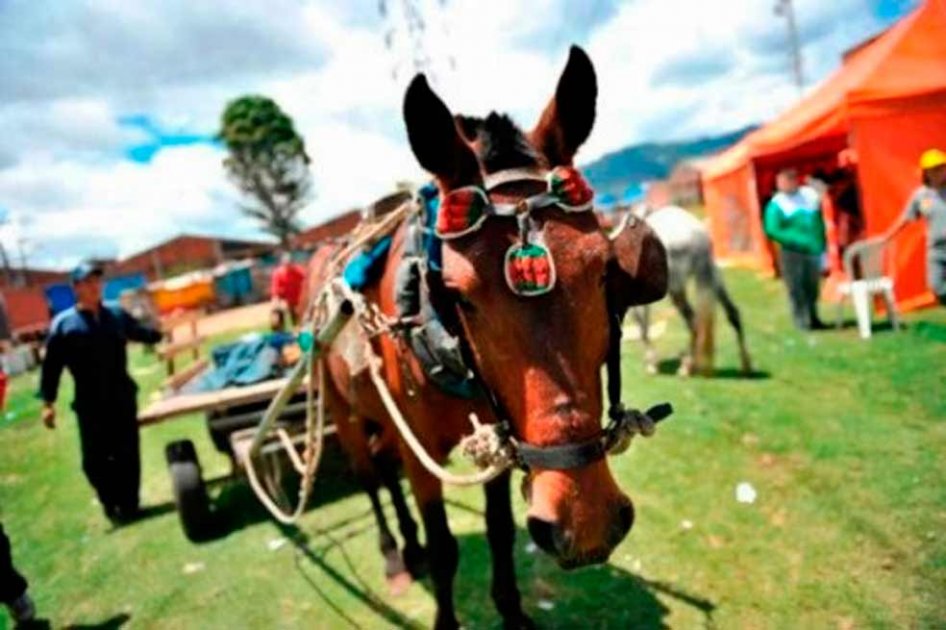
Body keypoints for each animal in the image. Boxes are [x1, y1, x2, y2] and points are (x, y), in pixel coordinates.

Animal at [303, 46, 668, 629]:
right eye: (460, 294)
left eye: (604, 269)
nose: (585, 522)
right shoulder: (421, 452)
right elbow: (444, 545)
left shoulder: (500, 433)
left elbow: (498, 532)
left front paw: (512, 611)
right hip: (342, 409)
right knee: (371, 476)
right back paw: (394, 554)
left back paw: (408, 547)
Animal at [630, 204, 751, 377]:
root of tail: (699, 235)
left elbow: (643, 328)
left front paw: (652, 365)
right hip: (711, 276)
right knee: (731, 312)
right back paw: (745, 365)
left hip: (677, 287)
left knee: (693, 320)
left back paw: (687, 366)